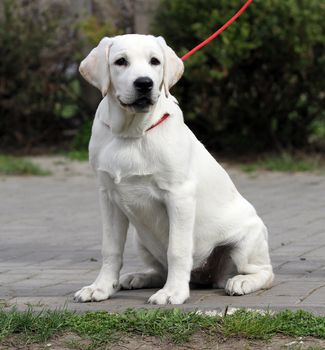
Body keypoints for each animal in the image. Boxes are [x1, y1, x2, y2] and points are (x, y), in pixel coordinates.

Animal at [74, 34, 274, 304]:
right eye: (120, 61)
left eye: (154, 61)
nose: (144, 83)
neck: (131, 132)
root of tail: (207, 277)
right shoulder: (108, 197)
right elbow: (111, 249)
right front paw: (100, 288)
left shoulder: (179, 196)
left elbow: (177, 250)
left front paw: (173, 293)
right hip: (141, 239)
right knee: (160, 269)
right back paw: (138, 277)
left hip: (246, 242)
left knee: (264, 272)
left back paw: (242, 281)